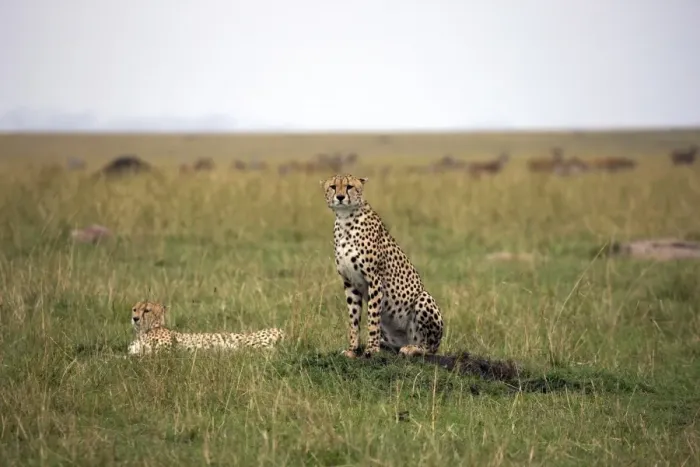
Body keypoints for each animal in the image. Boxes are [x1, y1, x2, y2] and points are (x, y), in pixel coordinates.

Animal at [127, 301, 285, 355]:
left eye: (147, 310)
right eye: (134, 309)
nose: (135, 318)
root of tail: (280, 331)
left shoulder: (165, 351)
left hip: (248, 343)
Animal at [320, 173, 444, 359]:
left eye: (349, 186)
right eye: (333, 187)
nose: (340, 197)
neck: (345, 219)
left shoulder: (374, 280)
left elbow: (372, 318)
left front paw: (371, 349)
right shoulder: (349, 283)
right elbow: (353, 319)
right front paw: (352, 349)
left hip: (423, 297)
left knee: (429, 346)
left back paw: (412, 349)